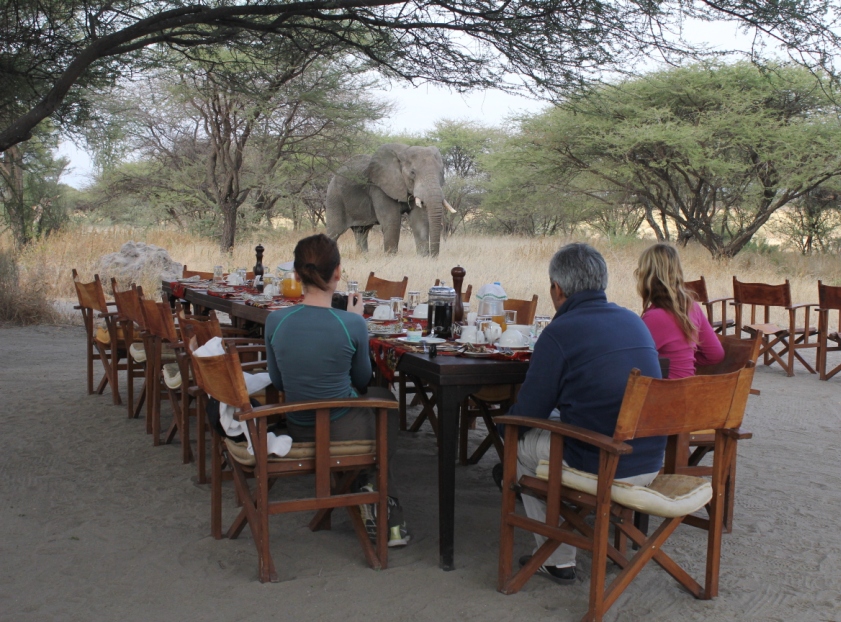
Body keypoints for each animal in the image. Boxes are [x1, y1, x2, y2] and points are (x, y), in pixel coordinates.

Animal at [325, 143, 456, 257]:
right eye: (413, 173)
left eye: (441, 173)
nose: (433, 256)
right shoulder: (380, 187)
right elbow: (392, 221)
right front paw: (390, 258)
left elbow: (420, 222)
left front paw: (423, 258)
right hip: (334, 198)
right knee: (334, 232)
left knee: (361, 232)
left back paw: (363, 256)